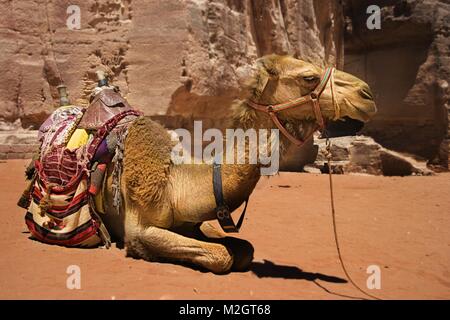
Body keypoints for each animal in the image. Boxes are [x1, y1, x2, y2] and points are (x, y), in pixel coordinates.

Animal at [100, 54, 378, 272]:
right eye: (309, 77)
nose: (367, 94)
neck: (176, 184)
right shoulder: (139, 230)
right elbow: (223, 255)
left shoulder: (195, 222)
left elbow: (245, 249)